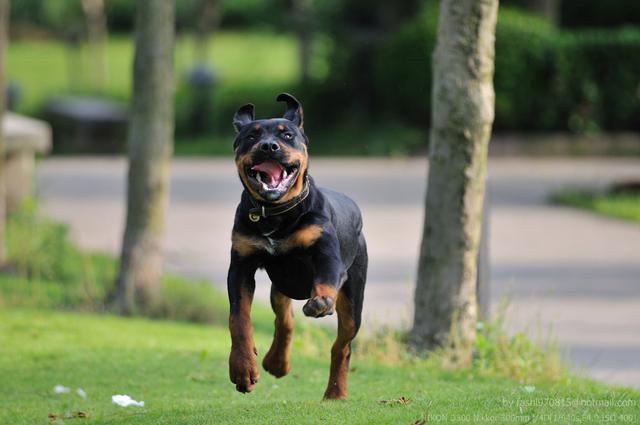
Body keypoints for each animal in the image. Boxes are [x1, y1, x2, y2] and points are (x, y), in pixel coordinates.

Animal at [228, 92, 368, 398]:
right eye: (251, 136)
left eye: (288, 135)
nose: (269, 146)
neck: (275, 214)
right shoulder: (241, 264)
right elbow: (239, 319)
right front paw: (243, 370)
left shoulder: (326, 253)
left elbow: (325, 280)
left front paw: (322, 301)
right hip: (281, 284)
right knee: (285, 319)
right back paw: (276, 362)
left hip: (354, 297)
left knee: (342, 345)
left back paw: (335, 393)